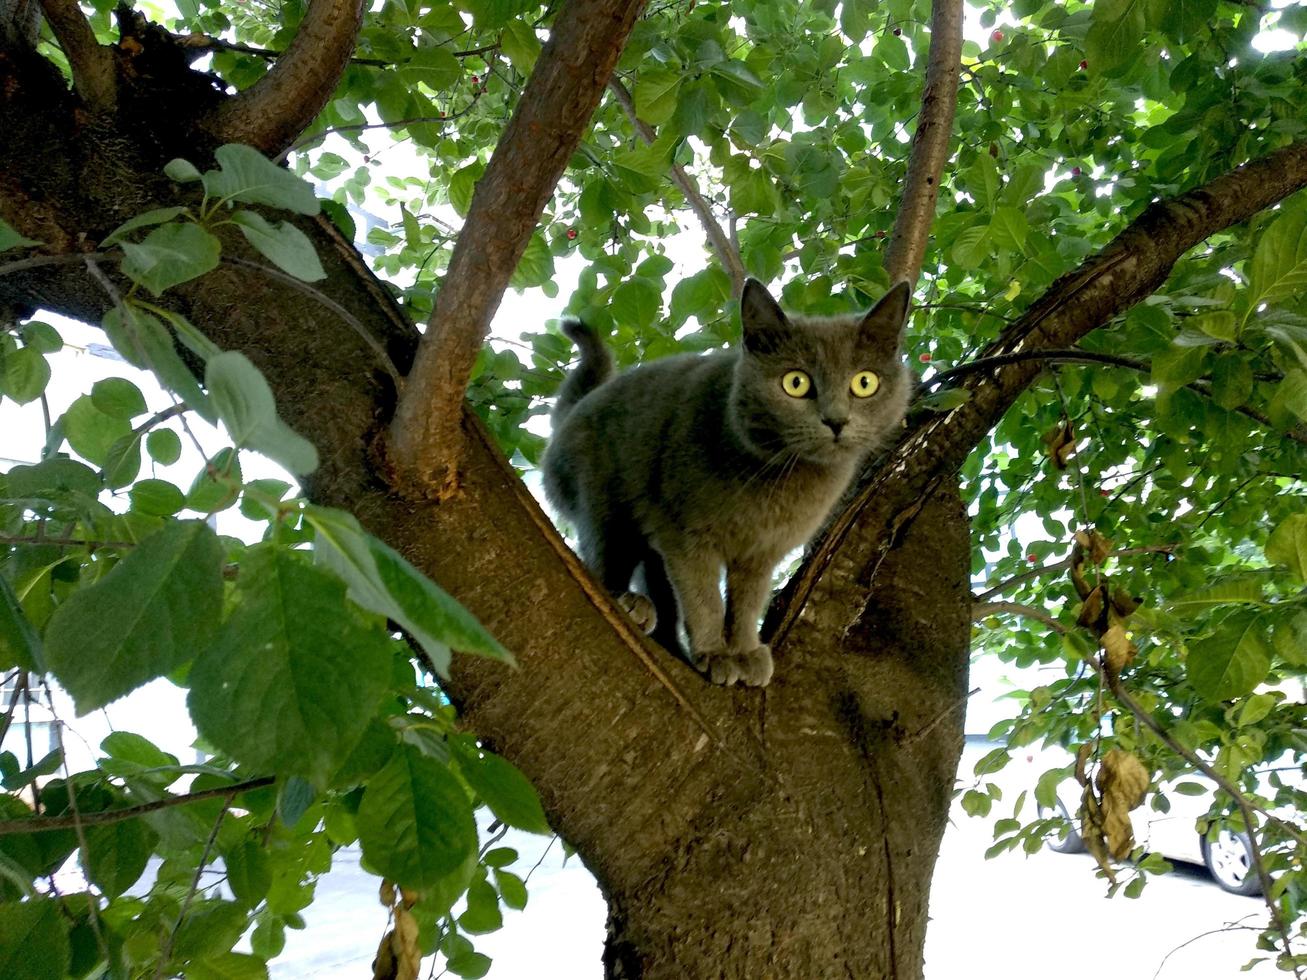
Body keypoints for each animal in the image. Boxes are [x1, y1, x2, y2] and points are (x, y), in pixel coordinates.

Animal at [541, 279, 909, 684]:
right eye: (795, 383)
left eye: (864, 383)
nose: (836, 420)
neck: (781, 478)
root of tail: (572, 411)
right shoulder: (685, 534)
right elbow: (704, 597)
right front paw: (715, 653)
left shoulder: (762, 553)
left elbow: (747, 603)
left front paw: (745, 651)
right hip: (601, 500)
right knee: (602, 555)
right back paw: (630, 604)